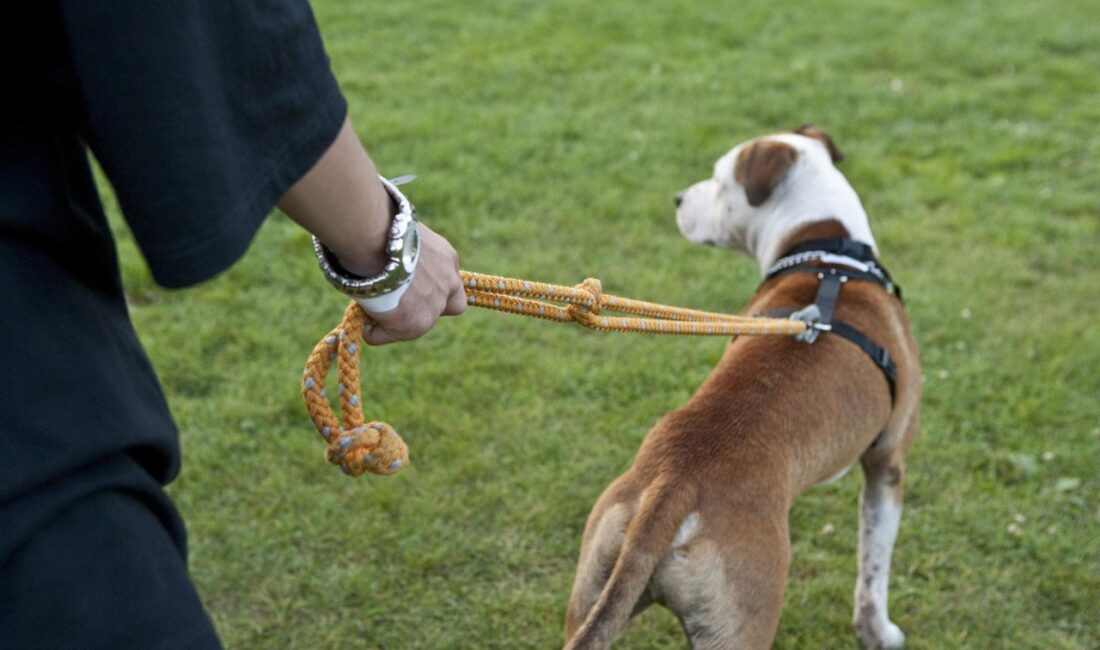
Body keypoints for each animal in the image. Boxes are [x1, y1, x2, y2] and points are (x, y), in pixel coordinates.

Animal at [567, 127, 919, 650]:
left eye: (717, 181)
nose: (677, 198)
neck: (826, 253)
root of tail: (673, 487)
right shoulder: (887, 462)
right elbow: (873, 567)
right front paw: (879, 633)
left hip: (597, 579)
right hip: (744, 618)